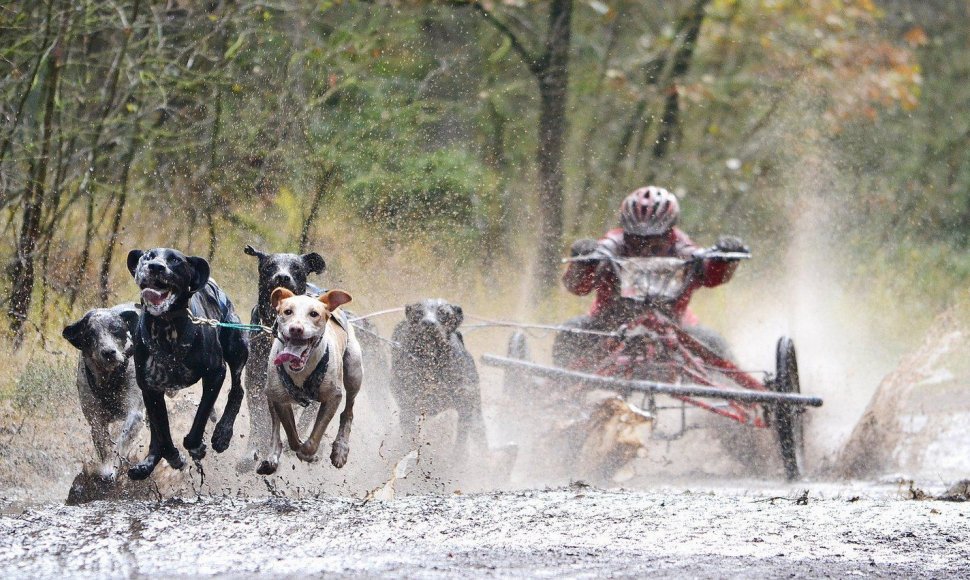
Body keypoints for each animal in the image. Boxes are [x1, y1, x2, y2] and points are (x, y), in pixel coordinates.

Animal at [61, 304, 142, 476]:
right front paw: (106, 467)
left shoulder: (135, 414)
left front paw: (112, 467)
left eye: (116, 329)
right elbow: (104, 445)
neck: (110, 380)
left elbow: (120, 443)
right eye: (90, 334)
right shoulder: (96, 420)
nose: (109, 352)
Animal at [125, 249, 250, 480]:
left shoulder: (215, 373)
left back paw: (223, 434)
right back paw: (148, 463)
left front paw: (196, 447)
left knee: (237, 391)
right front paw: (172, 456)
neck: (166, 328)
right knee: (156, 435)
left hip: (236, 349)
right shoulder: (150, 389)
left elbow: (200, 418)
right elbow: (163, 435)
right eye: (148, 256)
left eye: (175, 259)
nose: (156, 266)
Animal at [238, 244, 326, 458]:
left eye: (296, 268)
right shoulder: (256, 382)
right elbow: (260, 418)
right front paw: (254, 448)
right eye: (270, 266)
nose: (282, 277)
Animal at [255, 288, 362, 474]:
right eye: (287, 311)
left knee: (348, 411)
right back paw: (272, 455)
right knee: (275, 425)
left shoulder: (333, 397)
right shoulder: (280, 400)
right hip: (270, 392)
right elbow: (291, 434)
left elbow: (314, 439)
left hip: (354, 372)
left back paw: (341, 447)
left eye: (314, 314)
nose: (296, 329)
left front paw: (307, 453)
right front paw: (297, 447)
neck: (301, 371)